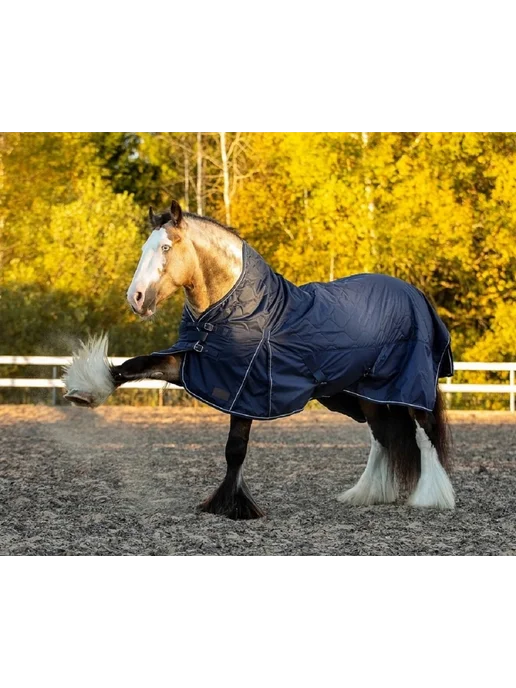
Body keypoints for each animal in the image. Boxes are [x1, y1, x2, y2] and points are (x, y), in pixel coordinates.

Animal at [63, 200, 455, 520]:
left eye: (165, 247)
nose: (136, 298)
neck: (238, 309)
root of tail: (415, 294)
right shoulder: (200, 366)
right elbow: (134, 365)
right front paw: (87, 392)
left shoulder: (245, 386)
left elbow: (235, 448)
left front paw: (231, 506)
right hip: (370, 393)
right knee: (381, 439)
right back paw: (365, 495)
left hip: (409, 387)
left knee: (424, 434)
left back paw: (432, 498)